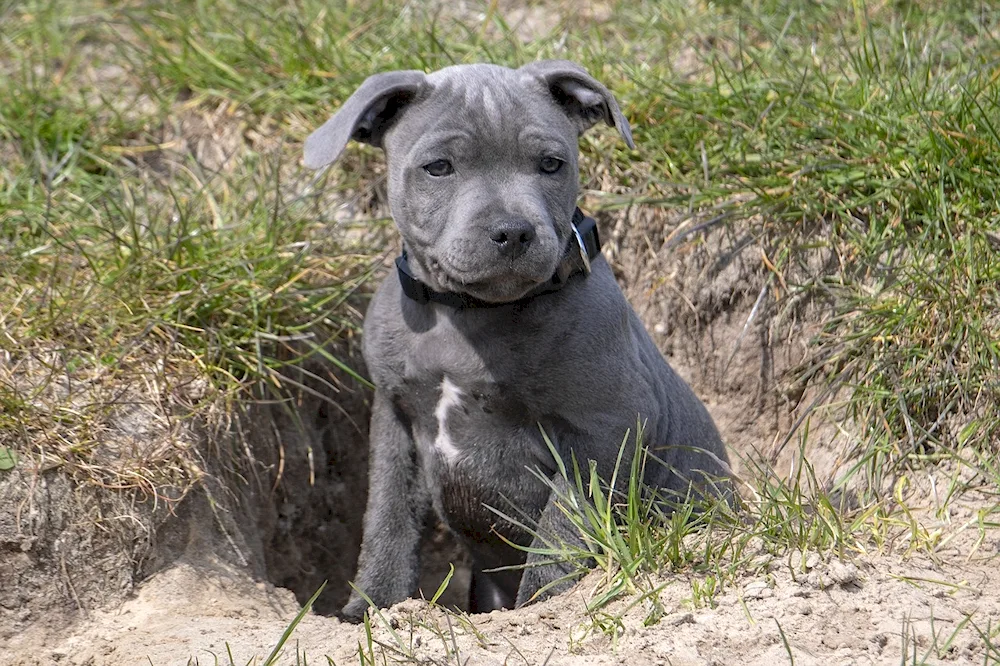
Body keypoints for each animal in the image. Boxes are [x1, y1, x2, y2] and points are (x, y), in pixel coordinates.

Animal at [300, 59, 732, 620]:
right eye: (438, 168)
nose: (512, 231)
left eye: (551, 164)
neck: (466, 314)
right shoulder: (395, 419)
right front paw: (371, 607)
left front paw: (544, 605)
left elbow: (562, 531)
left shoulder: (603, 430)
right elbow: (387, 520)